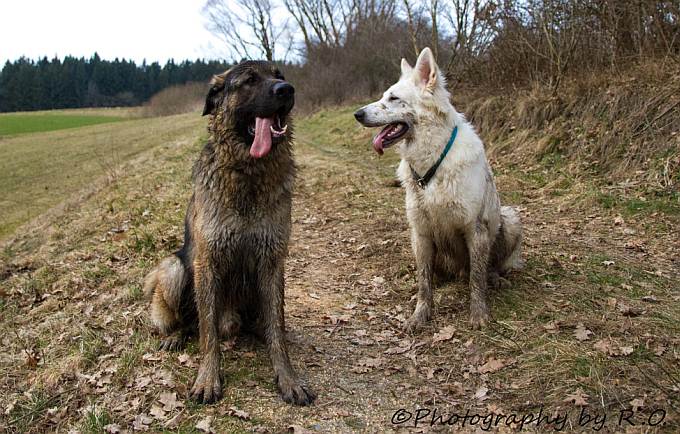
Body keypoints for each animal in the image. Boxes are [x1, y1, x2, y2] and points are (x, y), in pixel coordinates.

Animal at [145, 61, 314, 406]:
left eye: (279, 75)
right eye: (249, 81)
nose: (286, 90)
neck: (248, 173)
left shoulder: (272, 261)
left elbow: (277, 329)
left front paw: (288, 378)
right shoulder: (207, 262)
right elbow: (208, 331)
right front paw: (208, 378)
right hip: (173, 269)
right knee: (190, 321)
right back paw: (176, 335)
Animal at [354, 47, 524, 328]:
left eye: (394, 98)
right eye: (384, 96)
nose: (357, 114)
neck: (432, 163)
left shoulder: (475, 229)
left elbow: (477, 279)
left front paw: (479, 314)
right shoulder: (421, 232)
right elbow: (424, 281)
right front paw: (420, 314)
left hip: (510, 218)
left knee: (489, 267)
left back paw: (495, 278)